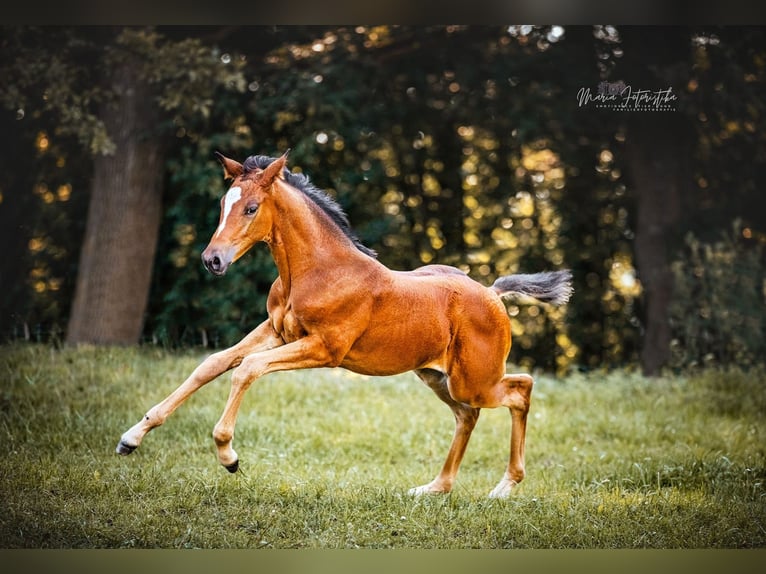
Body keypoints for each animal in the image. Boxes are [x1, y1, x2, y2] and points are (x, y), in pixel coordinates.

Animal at [117, 152, 572, 500]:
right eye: (221, 206)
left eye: (251, 208)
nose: (212, 260)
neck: (317, 271)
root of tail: (492, 293)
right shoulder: (275, 332)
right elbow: (211, 364)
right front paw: (131, 438)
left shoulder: (324, 348)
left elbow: (246, 370)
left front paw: (228, 456)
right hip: (435, 375)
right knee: (467, 415)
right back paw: (434, 488)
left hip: (474, 378)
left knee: (520, 389)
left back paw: (504, 487)